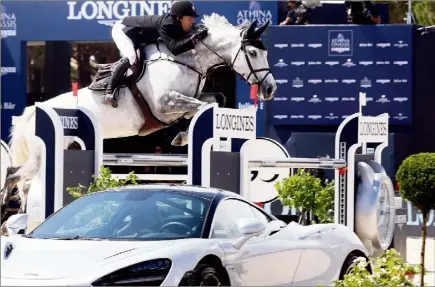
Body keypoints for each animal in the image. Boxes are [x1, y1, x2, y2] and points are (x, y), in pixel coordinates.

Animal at [0, 13, 278, 218]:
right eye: (253, 53)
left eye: (265, 53)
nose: (269, 89)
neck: (188, 58)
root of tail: (32, 112)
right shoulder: (164, 104)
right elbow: (197, 107)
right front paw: (183, 137)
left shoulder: (186, 99)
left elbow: (213, 100)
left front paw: (182, 136)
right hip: (40, 155)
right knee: (15, 174)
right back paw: (8, 208)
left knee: (22, 180)